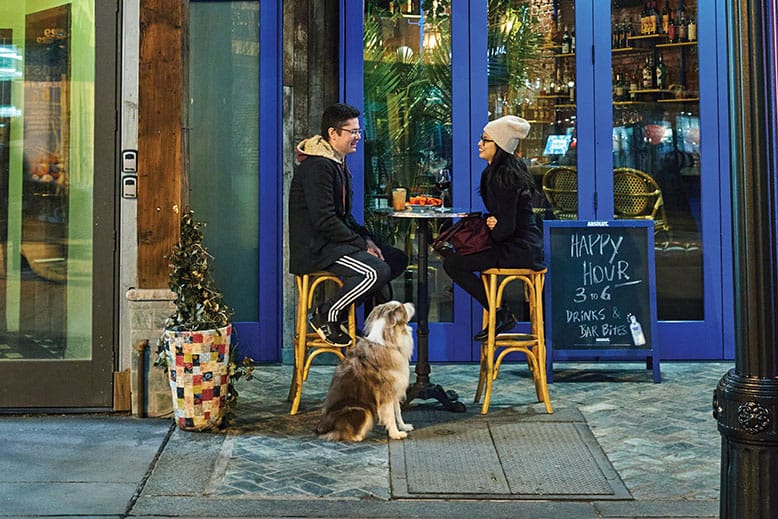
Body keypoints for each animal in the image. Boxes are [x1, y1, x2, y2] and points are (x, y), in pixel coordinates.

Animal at [314, 300, 416, 442]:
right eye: (403, 307)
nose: (412, 304)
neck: (389, 339)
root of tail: (321, 427)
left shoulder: (395, 387)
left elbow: (398, 411)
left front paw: (403, 426)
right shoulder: (385, 392)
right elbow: (390, 415)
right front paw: (395, 434)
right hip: (362, 410)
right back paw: (360, 435)